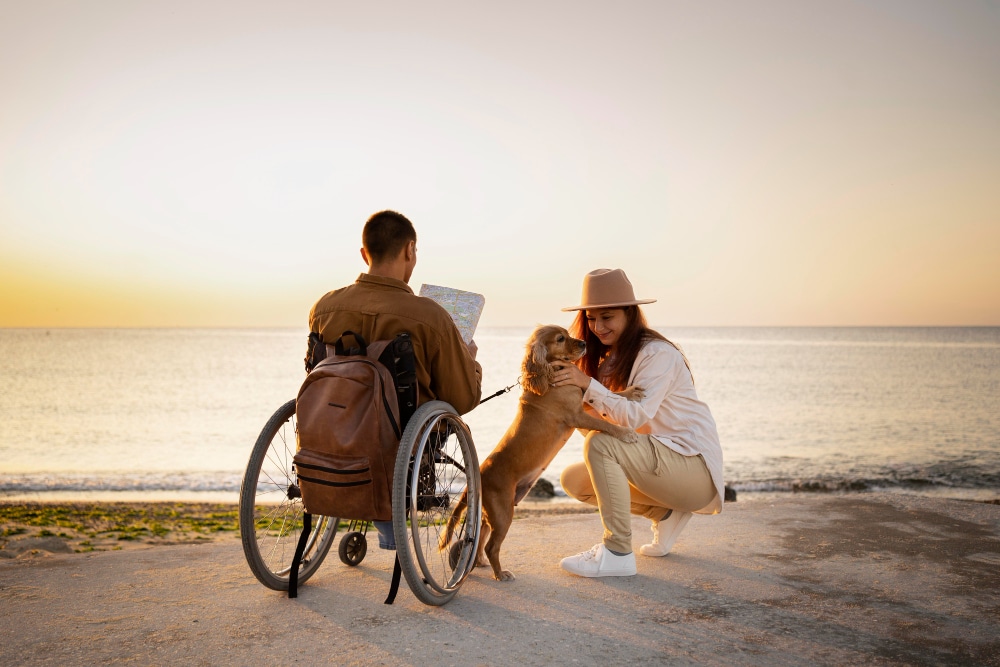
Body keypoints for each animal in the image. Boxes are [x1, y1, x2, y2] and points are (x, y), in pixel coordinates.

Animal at [440, 324, 644, 580]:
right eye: (560, 339)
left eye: (568, 334)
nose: (584, 344)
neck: (549, 373)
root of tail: (477, 476)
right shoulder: (577, 416)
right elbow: (605, 423)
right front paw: (626, 433)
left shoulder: (581, 403)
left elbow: (604, 394)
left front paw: (631, 392)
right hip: (504, 512)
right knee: (491, 546)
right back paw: (500, 573)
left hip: (491, 514)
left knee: (482, 539)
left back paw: (482, 564)